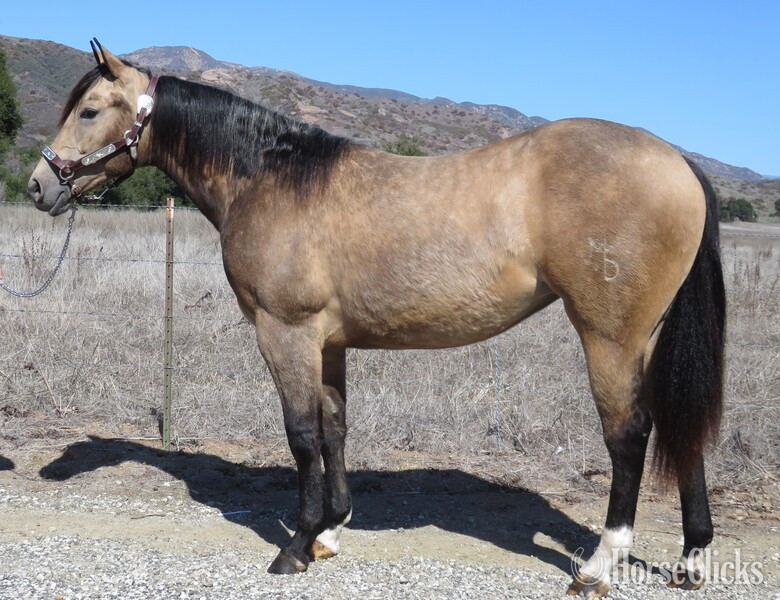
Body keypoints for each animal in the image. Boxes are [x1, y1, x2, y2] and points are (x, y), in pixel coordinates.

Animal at [28, 40, 725, 597]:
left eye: (90, 111)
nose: (39, 185)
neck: (271, 178)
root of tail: (679, 162)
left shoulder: (284, 332)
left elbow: (302, 435)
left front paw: (295, 547)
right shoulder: (329, 343)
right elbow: (335, 429)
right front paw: (331, 532)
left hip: (609, 337)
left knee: (630, 434)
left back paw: (601, 566)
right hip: (643, 340)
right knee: (676, 425)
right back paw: (692, 559)